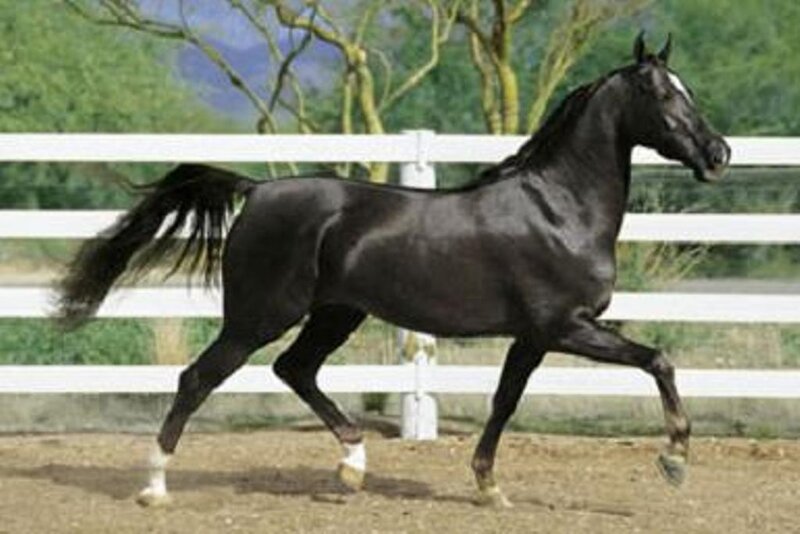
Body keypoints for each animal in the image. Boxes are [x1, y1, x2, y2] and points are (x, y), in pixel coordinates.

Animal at [55, 32, 730, 508]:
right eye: (662, 94)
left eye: (691, 90)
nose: (719, 153)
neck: (558, 208)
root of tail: (257, 190)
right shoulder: (565, 326)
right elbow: (658, 360)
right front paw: (675, 459)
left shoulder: (533, 336)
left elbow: (503, 403)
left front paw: (489, 487)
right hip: (259, 316)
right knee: (198, 379)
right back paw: (155, 487)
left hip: (335, 313)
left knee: (294, 369)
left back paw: (353, 466)